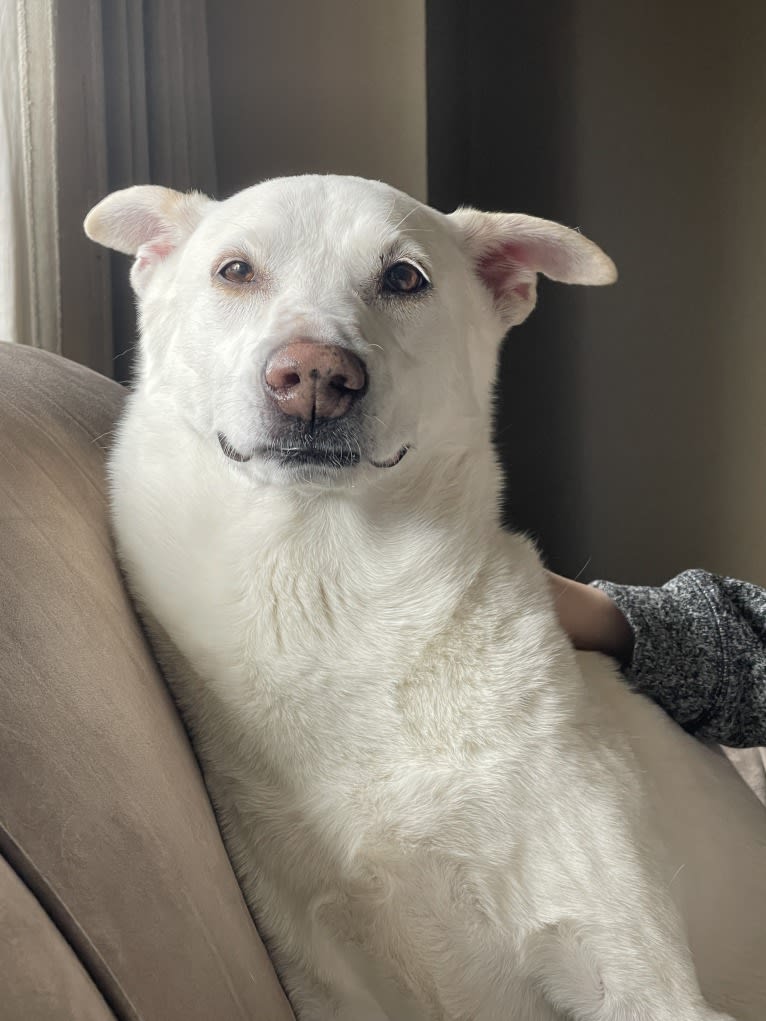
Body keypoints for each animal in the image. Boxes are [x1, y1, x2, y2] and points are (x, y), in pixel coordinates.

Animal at [85, 177, 766, 1021]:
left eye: (404, 278)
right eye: (235, 270)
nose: (315, 376)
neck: (332, 600)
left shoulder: (634, 970)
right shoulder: (330, 985)